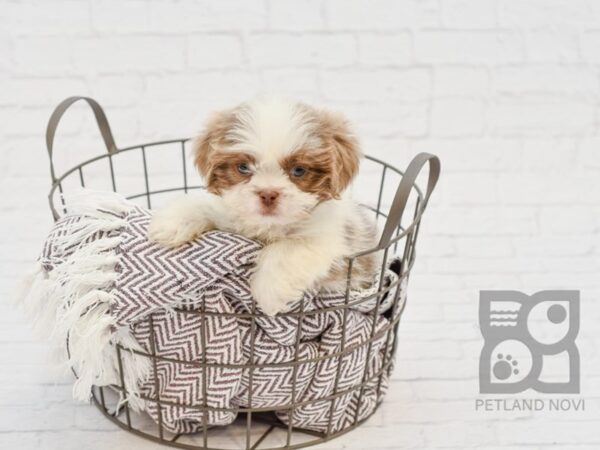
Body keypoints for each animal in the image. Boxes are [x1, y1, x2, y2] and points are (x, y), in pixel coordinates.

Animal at [148, 97, 378, 316]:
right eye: (243, 167)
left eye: (299, 170)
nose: (268, 194)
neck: (268, 227)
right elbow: (206, 206)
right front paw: (173, 222)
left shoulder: (330, 238)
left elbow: (288, 248)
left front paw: (269, 292)